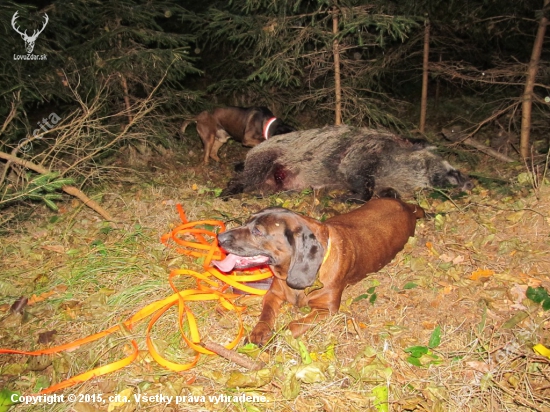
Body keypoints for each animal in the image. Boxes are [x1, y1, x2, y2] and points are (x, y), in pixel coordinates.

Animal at [215, 198, 426, 346]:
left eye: (258, 231)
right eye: (246, 221)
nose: (219, 237)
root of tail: (408, 207)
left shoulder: (326, 310)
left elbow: (294, 325)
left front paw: (276, 337)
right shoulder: (273, 294)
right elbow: (265, 316)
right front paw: (259, 333)